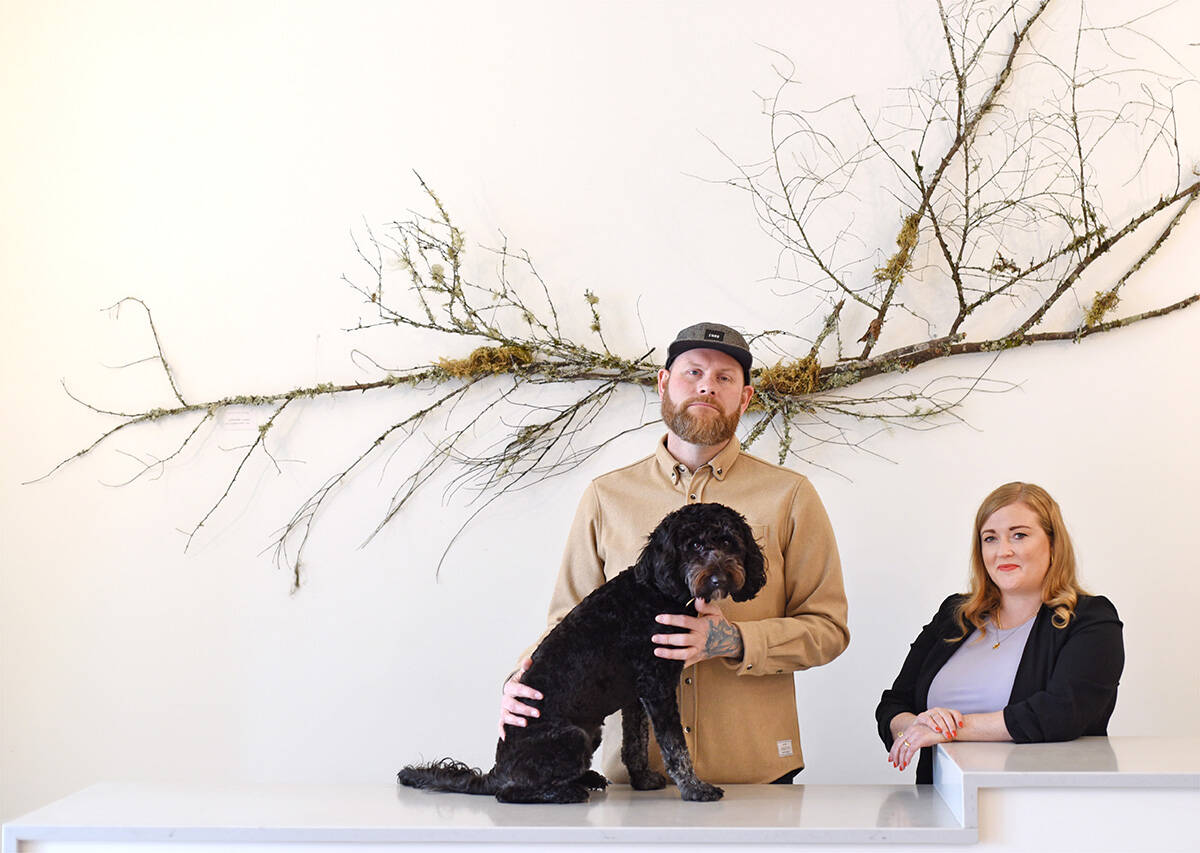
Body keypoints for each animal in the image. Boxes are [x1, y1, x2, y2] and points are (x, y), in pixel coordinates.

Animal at [398, 503, 763, 806]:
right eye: (694, 546)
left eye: (729, 541)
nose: (719, 577)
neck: (657, 590)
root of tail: (494, 773)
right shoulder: (657, 687)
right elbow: (674, 746)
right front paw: (695, 788)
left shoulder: (638, 695)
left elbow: (636, 742)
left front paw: (643, 780)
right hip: (572, 737)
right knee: (510, 793)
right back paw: (565, 792)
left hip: (590, 732)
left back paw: (585, 778)